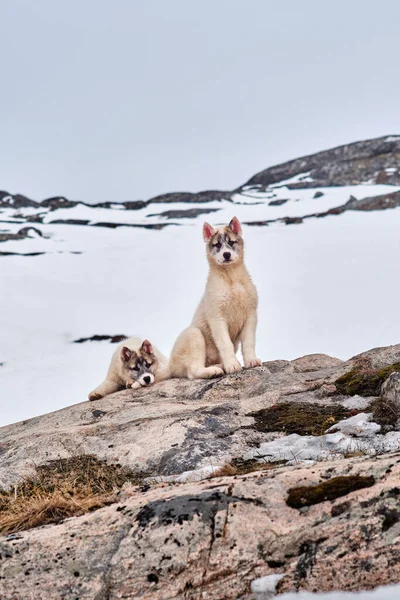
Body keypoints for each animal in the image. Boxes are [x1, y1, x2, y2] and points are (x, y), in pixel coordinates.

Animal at [169, 217, 262, 380]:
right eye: (217, 245)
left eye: (231, 242)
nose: (226, 254)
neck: (231, 278)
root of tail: (168, 367)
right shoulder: (217, 317)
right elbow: (225, 343)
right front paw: (232, 365)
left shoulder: (251, 314)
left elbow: (248, 342)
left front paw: (251, 361)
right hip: (194, 334)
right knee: (193, 372)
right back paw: (214, 370)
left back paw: (220, 365)